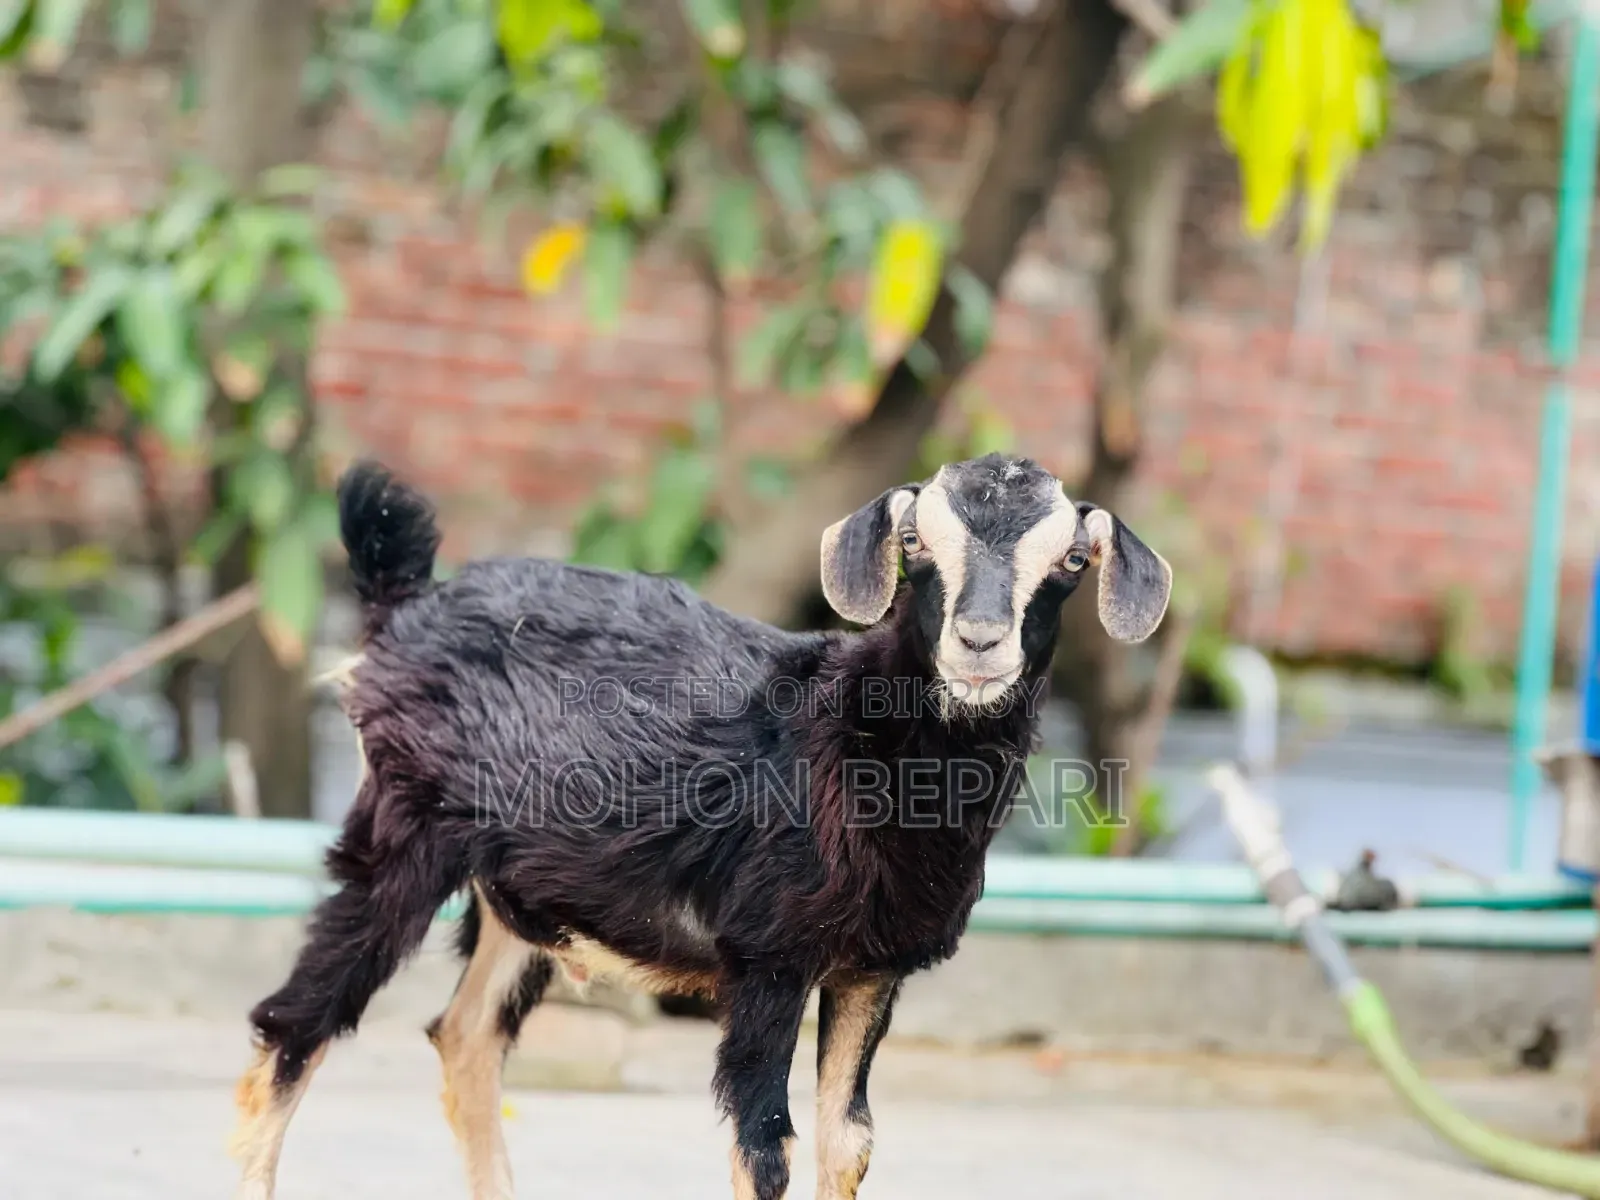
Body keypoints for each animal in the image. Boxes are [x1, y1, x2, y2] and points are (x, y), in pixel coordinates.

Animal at [230, 452, 1171, 1200]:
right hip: (404, 832)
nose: (978, 643)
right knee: (296, 1023)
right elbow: (765, 1149)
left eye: (1073, 559)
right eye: (914, 546)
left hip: (523, 890)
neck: (849, 736)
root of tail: (403, 605)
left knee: (465, 1038)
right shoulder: (768, 958)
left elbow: (850, 1142)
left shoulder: (870, 968)